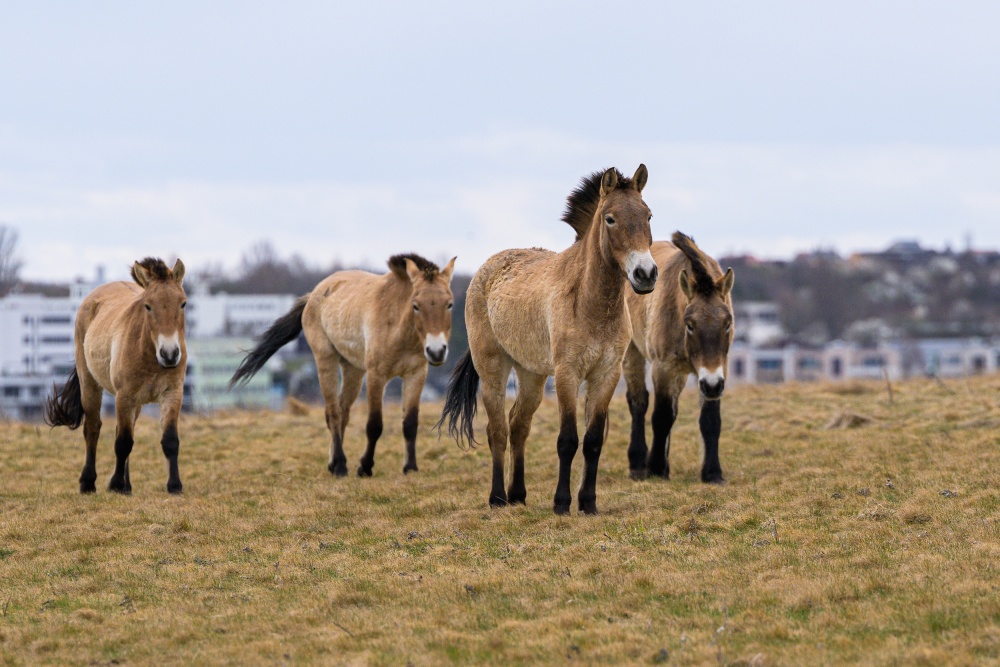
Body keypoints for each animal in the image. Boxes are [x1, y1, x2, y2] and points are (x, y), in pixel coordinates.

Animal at [44, 258, 191, 494]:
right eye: (148, 306)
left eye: (183, 303)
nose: (169, 354)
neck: (149, 354)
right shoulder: (124, 396)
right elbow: (122, 442)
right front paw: (115, 484)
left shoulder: (172, 393)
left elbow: (169, 440)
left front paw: (174, 486)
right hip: (90, 384)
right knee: (92, 429)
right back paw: (88, 483)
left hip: (136, 403)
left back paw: (127, 485)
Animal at [229, 253, 456, 478]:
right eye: (416, 305)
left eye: (450, 304)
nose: (436, 351)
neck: (398, 326)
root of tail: (315, 293)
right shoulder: (376, 375)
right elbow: (374, 425)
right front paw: (365, 467)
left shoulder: (416, 375)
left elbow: (410, 423)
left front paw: (410, 467)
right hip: (326, 361)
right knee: (333, 413)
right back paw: (339, 465)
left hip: (353, 369)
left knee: (343, 411)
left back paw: (333, 463)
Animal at [442, 166, 660, 516]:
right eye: (610, 219)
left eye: (648, 215)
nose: (646, 274)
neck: (590, 302)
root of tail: (486, 268)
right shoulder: (567, 374)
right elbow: (567, 440)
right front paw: (561, 503)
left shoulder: (606, 375)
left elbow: (593, 441)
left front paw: (588, 503)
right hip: (493, 368)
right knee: (497, 430)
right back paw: (498, 498)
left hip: (531, 373)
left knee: (518, 425)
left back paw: (518, 495)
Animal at [624, 235, 736, 486]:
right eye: (690, 325)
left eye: (727, 323)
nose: (712, 386)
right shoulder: (663, 368)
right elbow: (661, 416)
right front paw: (655, 469)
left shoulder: (718, 370)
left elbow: (710, 420)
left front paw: (712, 473)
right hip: (632, 352)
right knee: (638, 402)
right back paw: (638, 464)